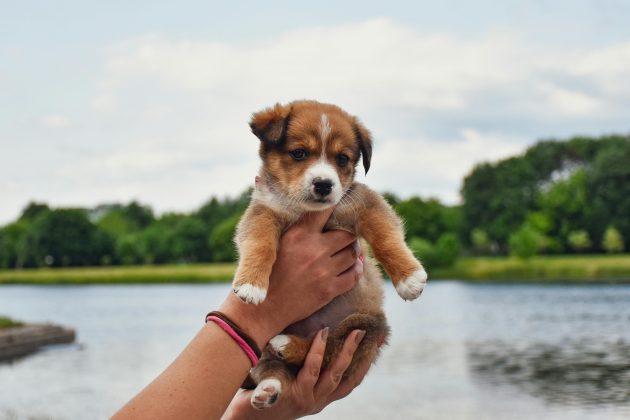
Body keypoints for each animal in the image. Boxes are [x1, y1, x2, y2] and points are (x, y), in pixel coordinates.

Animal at [233, 100, 430, 408]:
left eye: (342, 159)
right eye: (299, 153)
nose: (324, 184)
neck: (305, 211)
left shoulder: (364, 203)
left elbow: (386, 236)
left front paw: (409, 279)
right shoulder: (263, 212)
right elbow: (259, 243)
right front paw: (251, 284)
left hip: (365, 327)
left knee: (326, 345)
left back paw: (287, 347)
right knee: (275, 366)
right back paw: (268, 387)